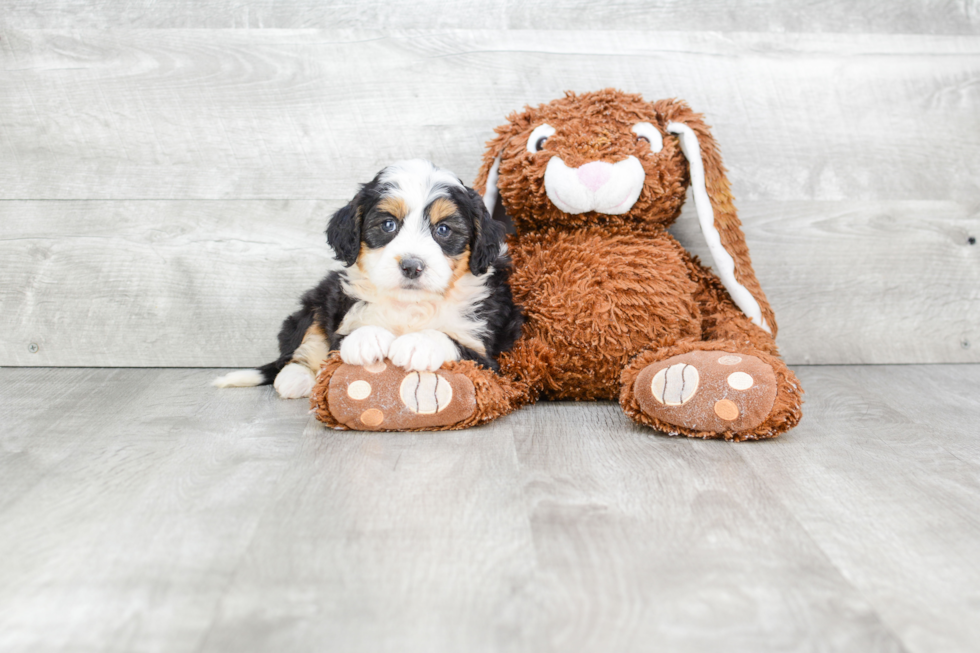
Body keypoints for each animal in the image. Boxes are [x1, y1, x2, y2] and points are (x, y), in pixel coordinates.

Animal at [212, 160, 524, 400]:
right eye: (388, 225)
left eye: (444, 229)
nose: (412, 266)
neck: (409, 305)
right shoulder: (341, 318)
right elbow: (345, 335)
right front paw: (367, 338)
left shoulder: (485, 355)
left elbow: (450, 339)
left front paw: (418, 343)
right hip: (318, 299)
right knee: (304, 341)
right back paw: (295, 378)